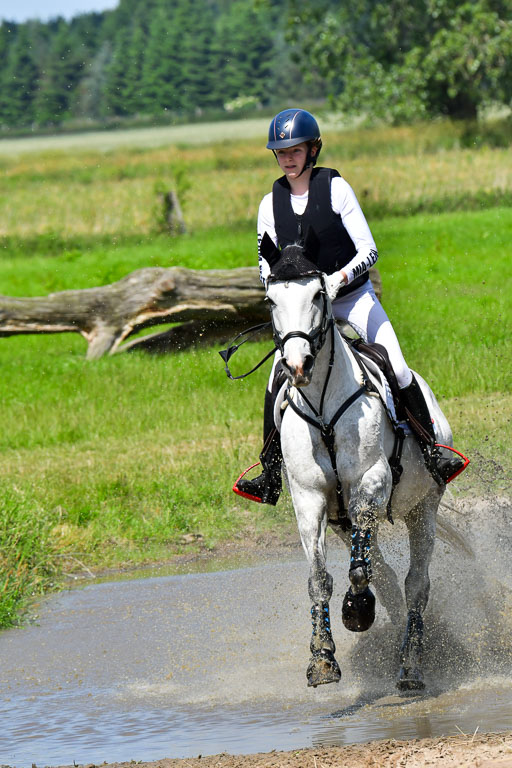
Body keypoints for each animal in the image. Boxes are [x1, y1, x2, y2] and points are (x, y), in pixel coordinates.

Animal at [261, 234, 455, 691]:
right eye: (271, 299)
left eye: (318, 294)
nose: (297, 365)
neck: (323, 405)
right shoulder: (310, 499)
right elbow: (320, 578)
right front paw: (321, 659)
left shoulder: (373, 480)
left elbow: (360, 573)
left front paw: (357, 611)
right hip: (345, 520)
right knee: (385, 575)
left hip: (424, 507)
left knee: (415, 584)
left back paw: (410, 664)